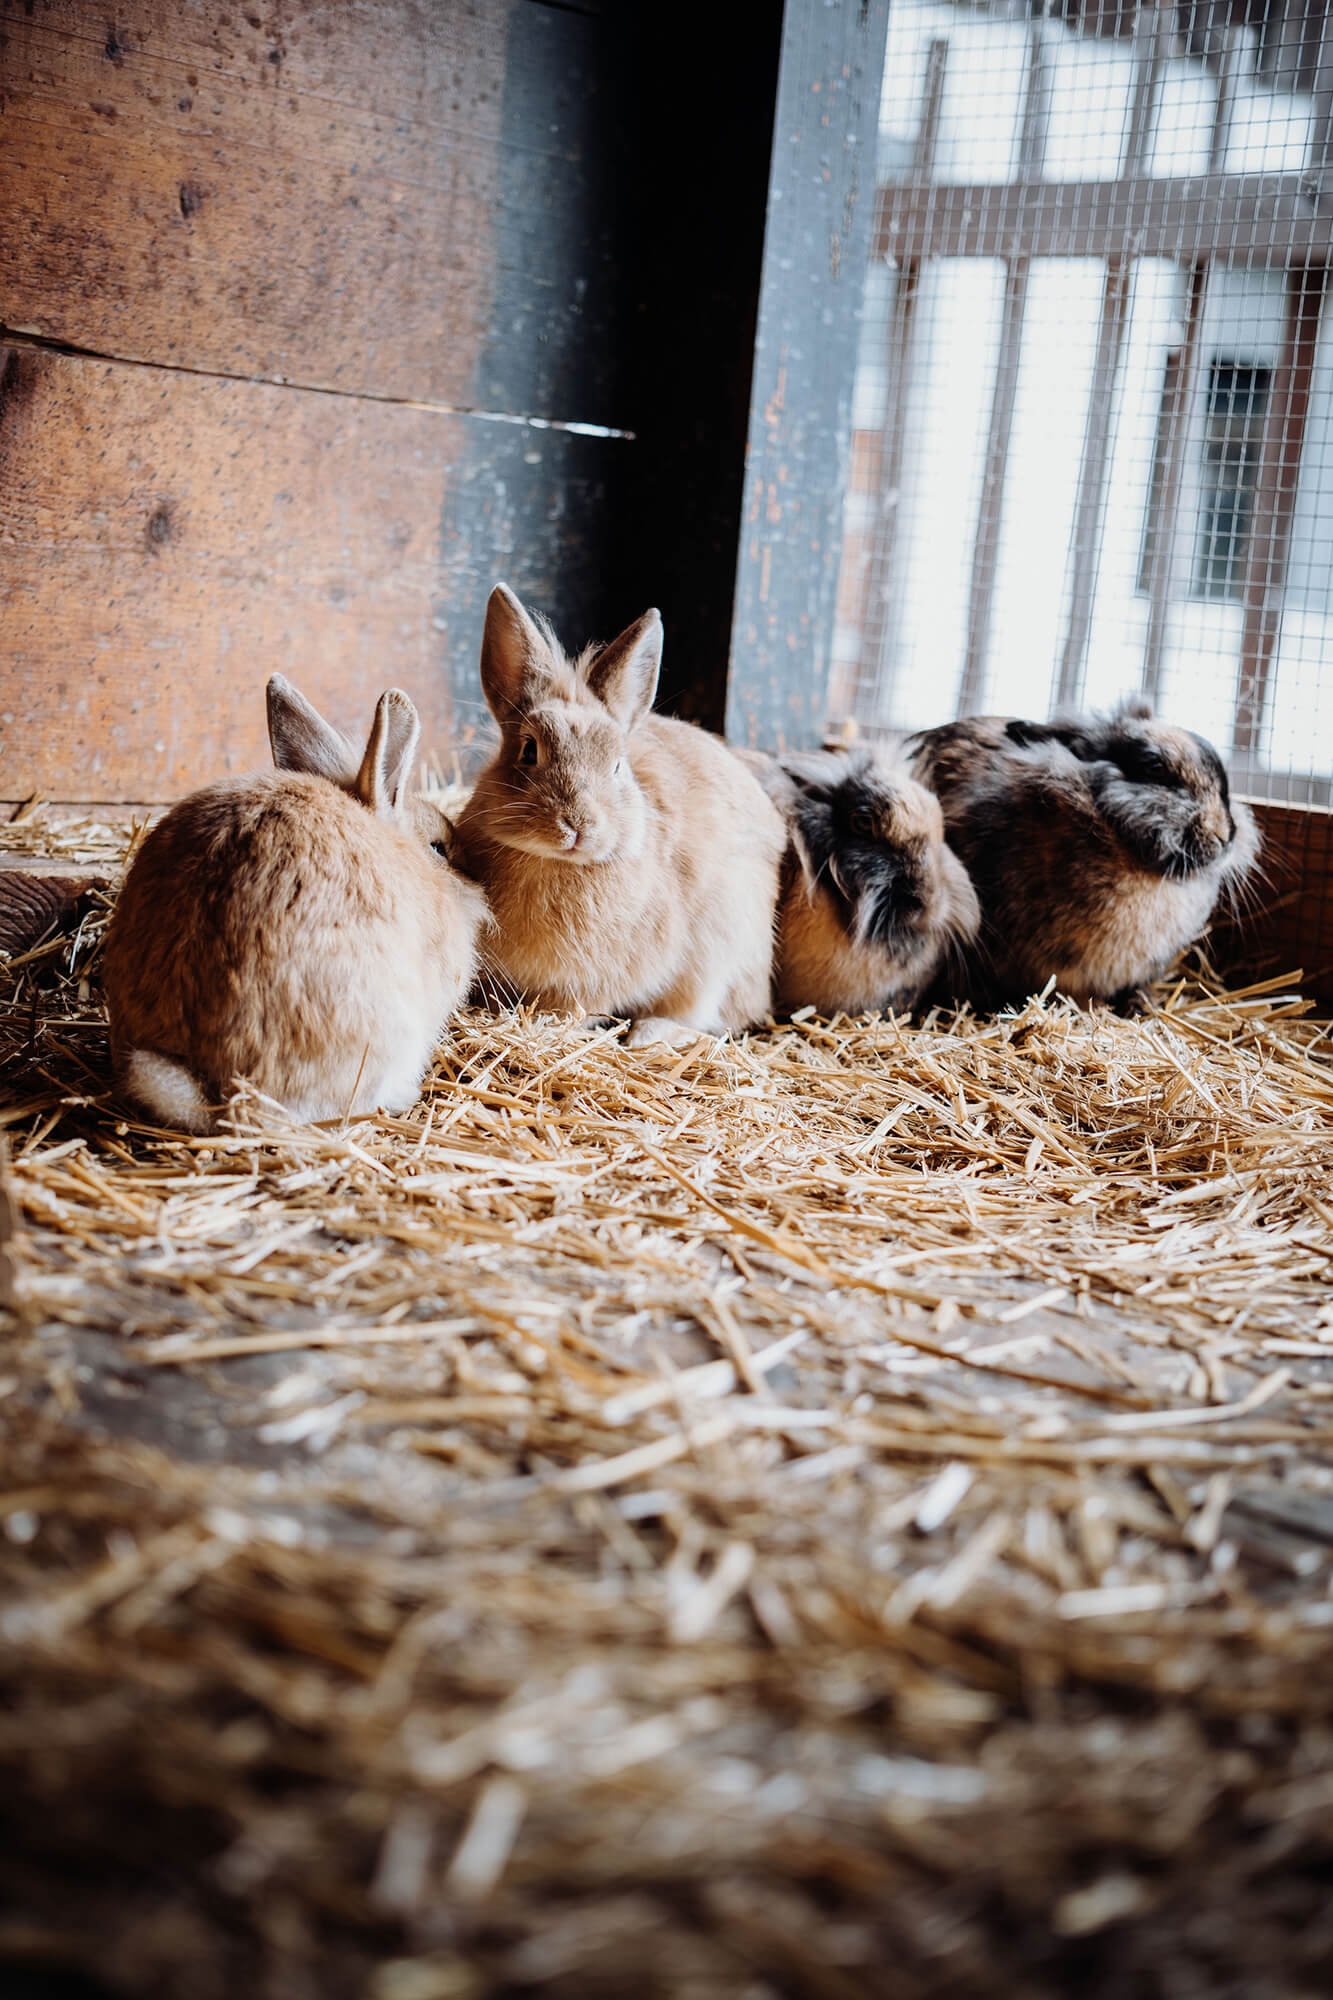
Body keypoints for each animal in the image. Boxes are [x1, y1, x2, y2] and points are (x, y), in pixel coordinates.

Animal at [452, 580, 784, 1048]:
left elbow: (577, 1008)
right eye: (529, 750)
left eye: (616, 766)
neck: (558, 864)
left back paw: (648, 1033)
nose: (577, 825)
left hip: (719, 954)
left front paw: (550, 1024)